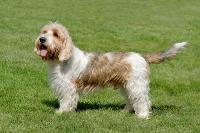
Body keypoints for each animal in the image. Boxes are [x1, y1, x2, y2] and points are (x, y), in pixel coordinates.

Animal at [34, 22, 186, 118]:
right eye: (44, 32)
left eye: (56, 34)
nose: (42, 39)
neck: (61, 60)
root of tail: (142, 56)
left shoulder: (68, 88)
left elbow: (66, 100)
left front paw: (62, 112)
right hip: (125, 86)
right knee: (131, 100)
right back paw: (125, 111)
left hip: (136, 85)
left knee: (143, 100)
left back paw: (142, 116)